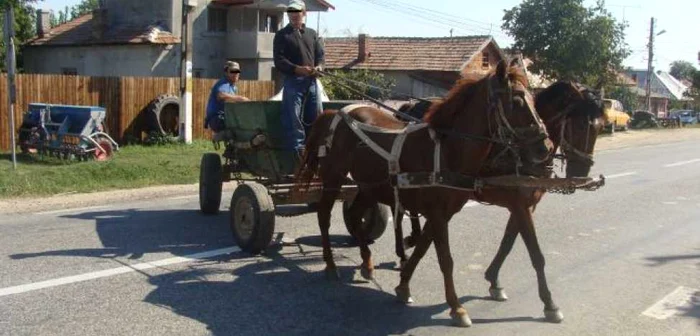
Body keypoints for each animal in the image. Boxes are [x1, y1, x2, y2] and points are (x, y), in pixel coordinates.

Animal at [296, 59, 552, 326]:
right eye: (518, 101)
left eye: (533, 100)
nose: (545, 147)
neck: (446, 150)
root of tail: (336, 113)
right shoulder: (439, 213)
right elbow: (445, 260)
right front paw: (457, 307)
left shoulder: (442, 213)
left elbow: (421, 248)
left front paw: (403, 287)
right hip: (334, 177)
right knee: (324, 216)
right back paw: (330, 265)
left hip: (369, 185)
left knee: (355, 216)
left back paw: (367, 263)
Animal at [388, 80, 608, 324]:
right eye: (578, 125)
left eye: (600, 127)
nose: (581, 172)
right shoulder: (520, 205)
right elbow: (535, 254)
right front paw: (549, 303)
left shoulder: (524, 205)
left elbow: (507, 243)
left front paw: (493, 280)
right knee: (400, 211)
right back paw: (404, 247)